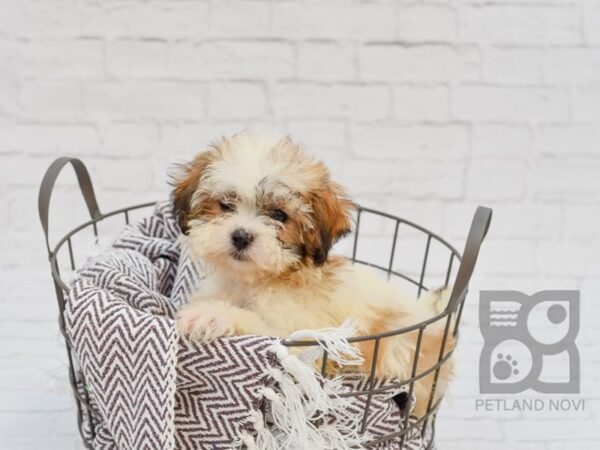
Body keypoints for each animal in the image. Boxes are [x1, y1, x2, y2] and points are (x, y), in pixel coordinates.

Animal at [173, 132, 454, 416]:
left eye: (279, 215)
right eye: (225, 204)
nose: (241, 236)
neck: (258, 280)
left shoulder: (296, 341)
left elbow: (262, 330)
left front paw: (211, 315)